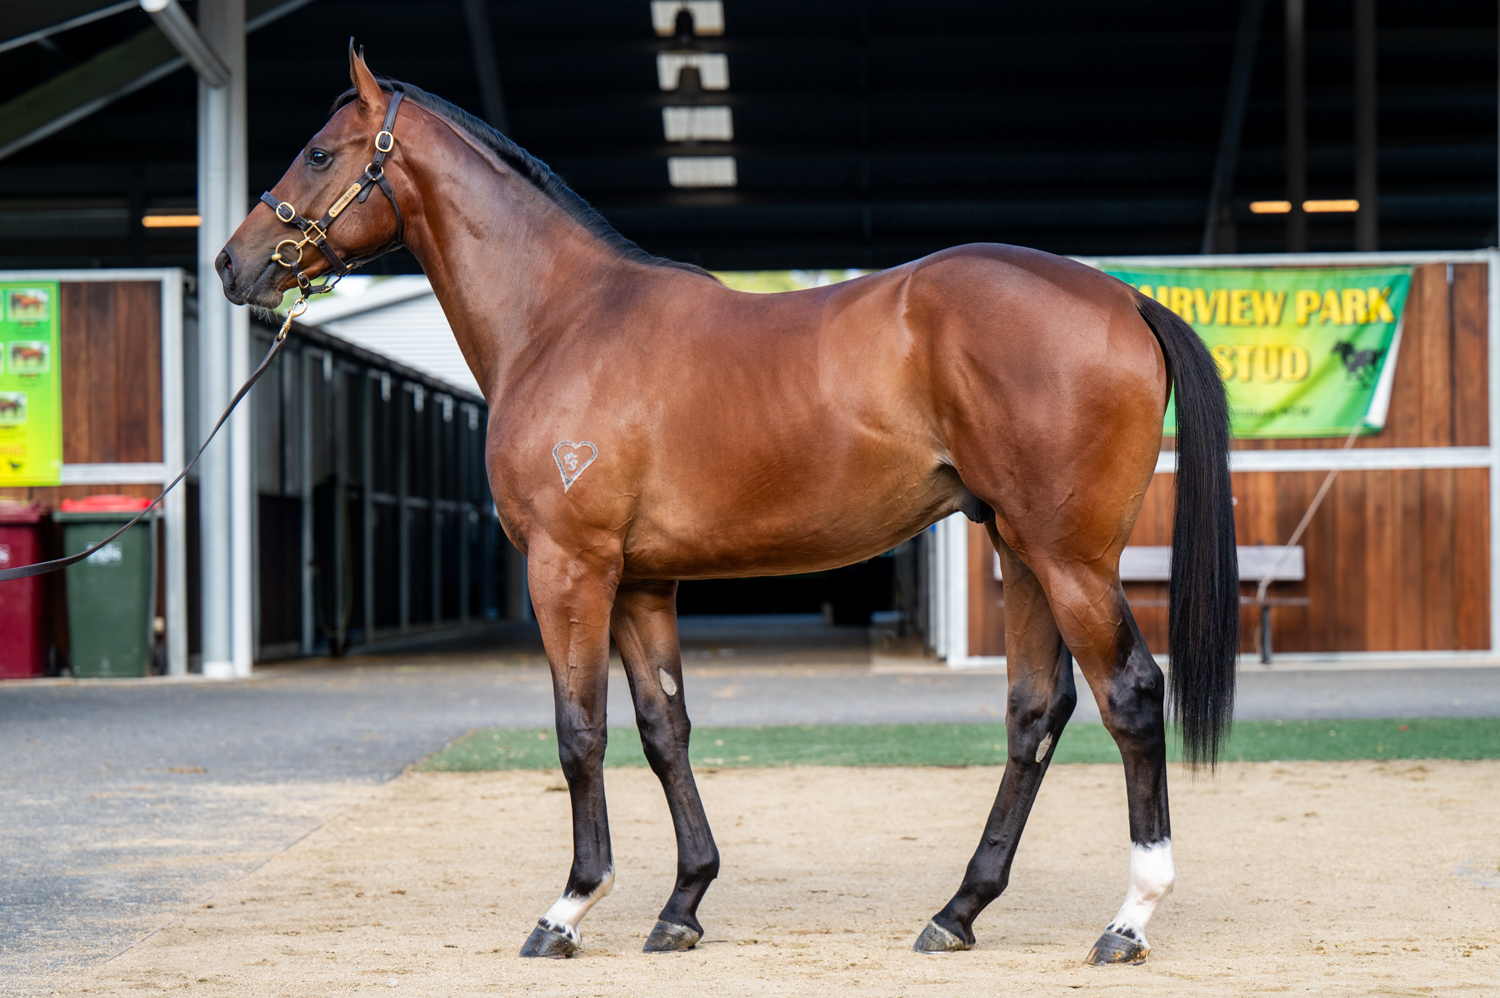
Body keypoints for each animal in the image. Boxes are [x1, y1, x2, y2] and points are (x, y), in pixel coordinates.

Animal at [217, 48, 1236, 966]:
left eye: (318, 152)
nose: (233, 265)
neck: (563, 321)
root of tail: (1123, 297)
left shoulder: (569, 568)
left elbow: (579, 733)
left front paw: (570, 908)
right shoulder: (642, 585)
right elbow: (664, 732)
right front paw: (683, 905)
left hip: (1069, 558)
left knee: (1129, 697)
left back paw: (1128, 921)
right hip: (1020, 552)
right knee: (1035, 712)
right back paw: (958, 912)